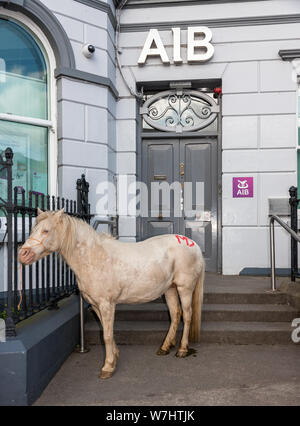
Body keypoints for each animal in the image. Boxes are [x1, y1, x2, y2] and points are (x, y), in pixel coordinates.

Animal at [18, 210, 205, 380]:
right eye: (33, 229)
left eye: (46, 230)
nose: (23, 254)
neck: (93, 257)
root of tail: (194, 245)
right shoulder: (96, 305)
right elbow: (105, 331)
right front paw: (114, 357)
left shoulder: (107, 304)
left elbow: (107, 335)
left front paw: (108, 367)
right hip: (170, 289)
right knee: (175, 314)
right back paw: (165, 347)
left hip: (184, 288)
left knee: (187, 315)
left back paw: (182, 349)